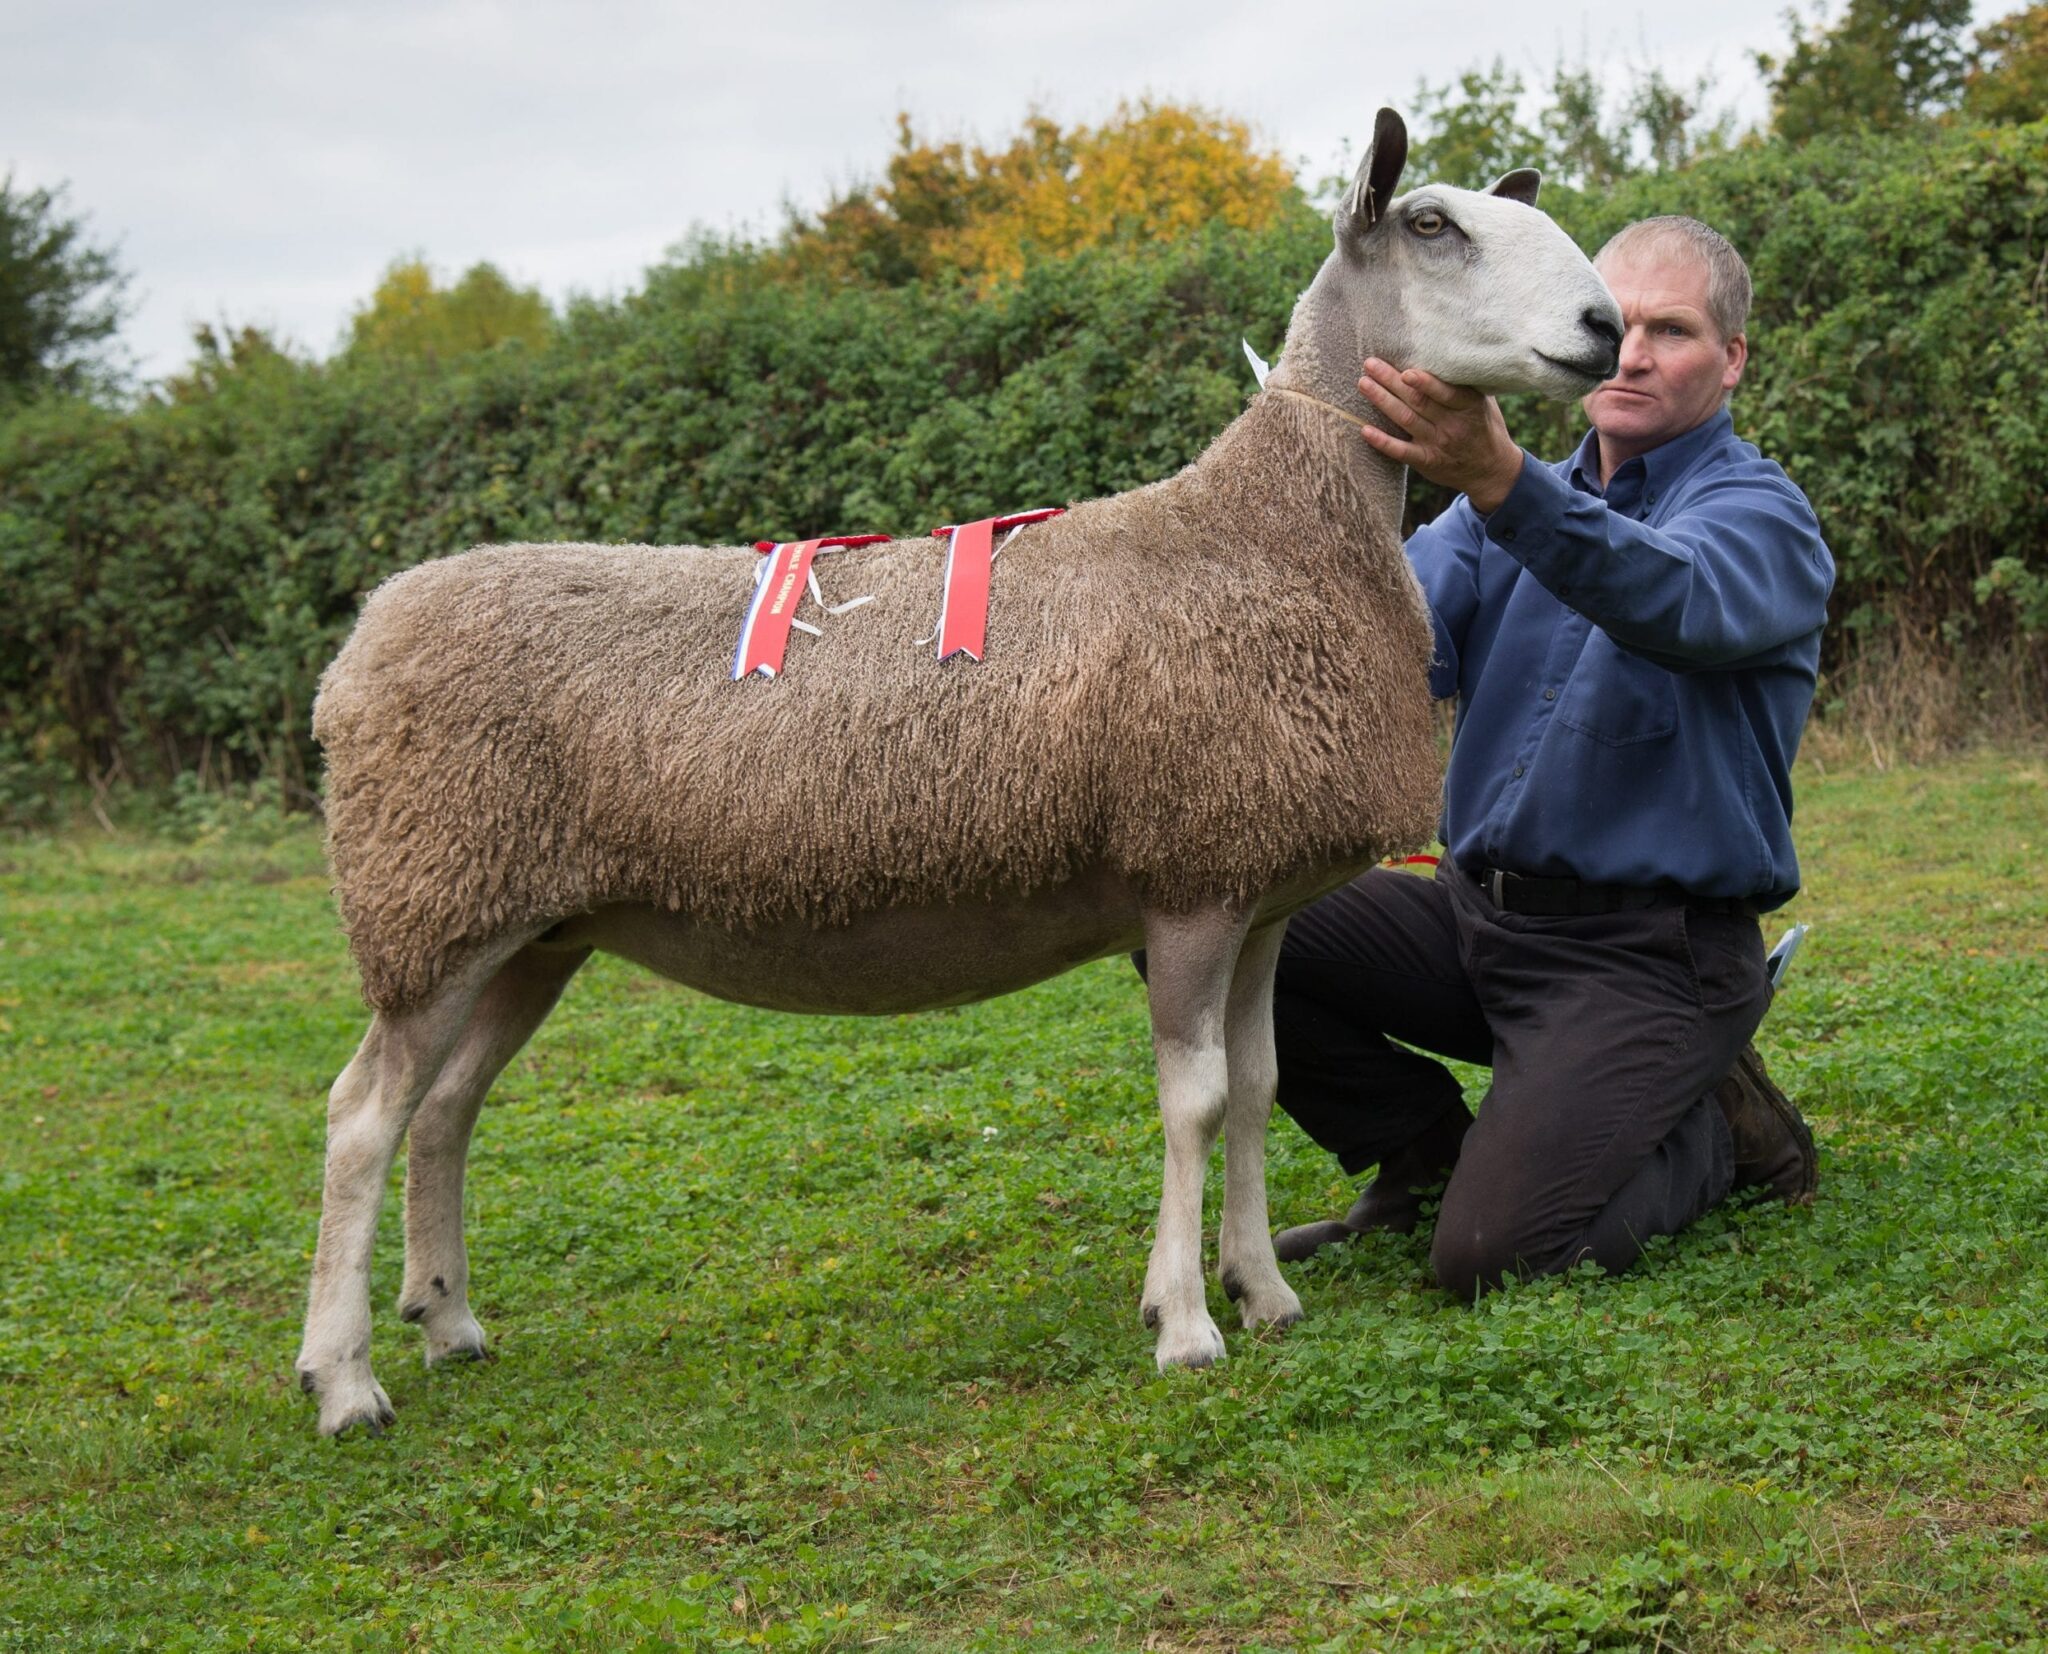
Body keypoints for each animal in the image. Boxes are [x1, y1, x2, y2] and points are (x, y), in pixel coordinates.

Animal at [296, 113, 1622, 1432]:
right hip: (432, 905)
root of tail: (361, 645)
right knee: (362, 1118)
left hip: (527, 926)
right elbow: (1193, 1102)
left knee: (444, 1108)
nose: (1605, 326)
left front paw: (1261, 1293)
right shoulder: (1189, 878)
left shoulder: (1258, 893)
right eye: (1431, 226)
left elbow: (1254, 1086)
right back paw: (345, 1378)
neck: (1265, 531)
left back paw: (448, 1321)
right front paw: (1187, 1325)